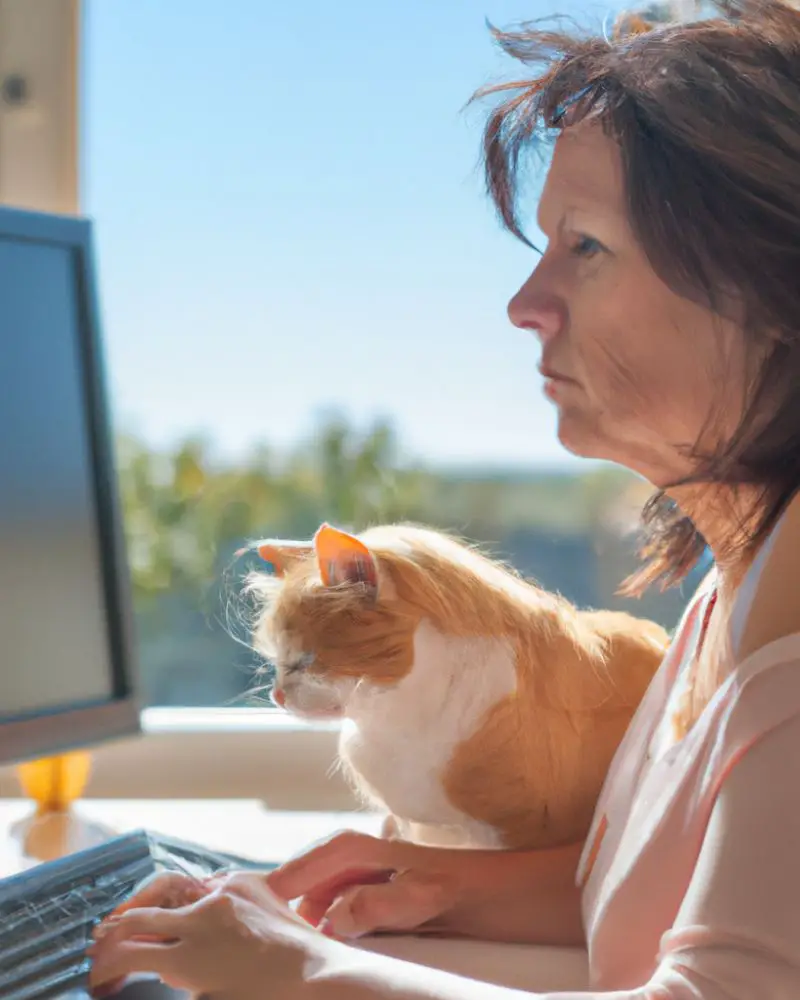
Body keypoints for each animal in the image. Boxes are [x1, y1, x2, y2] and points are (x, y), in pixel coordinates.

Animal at [244, 520, 668, 848]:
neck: (395, 722)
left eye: (303, 661)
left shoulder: (512, 834)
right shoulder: (410, 821)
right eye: (276, 663)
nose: (277, 695)